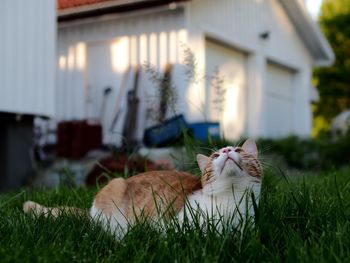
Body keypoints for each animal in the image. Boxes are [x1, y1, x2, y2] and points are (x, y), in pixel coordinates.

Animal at [23, 139, 262, 240]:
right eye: (215, 156)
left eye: (239, 149)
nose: (227, 150)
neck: (231, 199)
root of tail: (90, 214)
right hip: (116, 184)